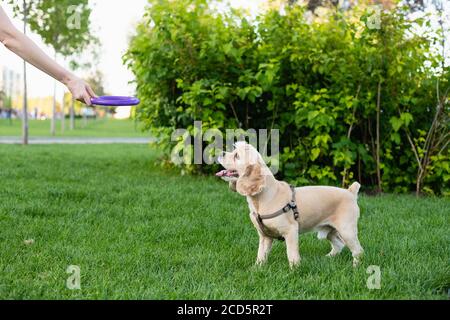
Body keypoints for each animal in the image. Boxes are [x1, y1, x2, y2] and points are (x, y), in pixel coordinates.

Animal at [216, 142, 364, 268]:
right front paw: (257, 268)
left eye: (236, 156)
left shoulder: (291, 231)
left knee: (358, 251)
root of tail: (350, 192)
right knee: (339, 245)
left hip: (347, 231)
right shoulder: (265, 237)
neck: (262, 198)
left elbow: (291, 254)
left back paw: (355, 267)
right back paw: (328, 258)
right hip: (330, 230)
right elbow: (261, 254)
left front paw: (295, 269)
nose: (220, 152)